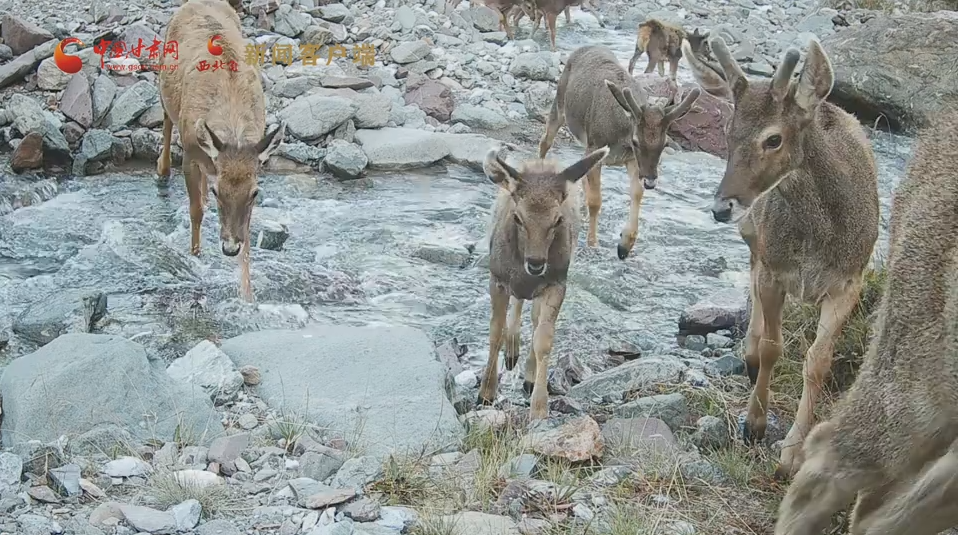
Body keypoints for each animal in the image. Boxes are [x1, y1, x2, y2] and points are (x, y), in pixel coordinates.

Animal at [156, 0, 286, 302]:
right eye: (219, 192)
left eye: (255, 193)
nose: (228, 248)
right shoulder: (189, 154)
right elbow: (195, 211)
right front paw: (195, 257)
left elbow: (247, 232)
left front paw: (247, 295)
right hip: (163, 78)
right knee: (166, 119)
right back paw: (162, 171)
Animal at [476, 145, 610, 421]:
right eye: (517, 217)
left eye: (558, 220)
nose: (536, 263)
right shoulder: (497, 279)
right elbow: (495, 332)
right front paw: (486, 393)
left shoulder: (557, 283)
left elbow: (544, 339)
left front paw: (539, 407)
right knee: (516, 309)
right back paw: (512, 350)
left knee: (534, 318)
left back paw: (525, 372)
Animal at [538, 45, 700, 260]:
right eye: (636, 141)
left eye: (665, 143)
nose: (651, 180)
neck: (620, 138)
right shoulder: (597, 144)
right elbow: (596, 201)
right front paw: (592, 243)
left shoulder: (631, 160)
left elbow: (636, 194)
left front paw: (625, 245)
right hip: (560, 103)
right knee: (545, 142)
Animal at [682, 35, 880, 479]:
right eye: (727, 130)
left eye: (773, 138)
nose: (721, 207)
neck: (818, 244)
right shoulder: (776, 270)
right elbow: (775, 347)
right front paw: (754, 424)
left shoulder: (849, 280)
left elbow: (818, 360)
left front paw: (792, 454)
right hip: (755, 236)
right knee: (752, 276)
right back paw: (749, 354)